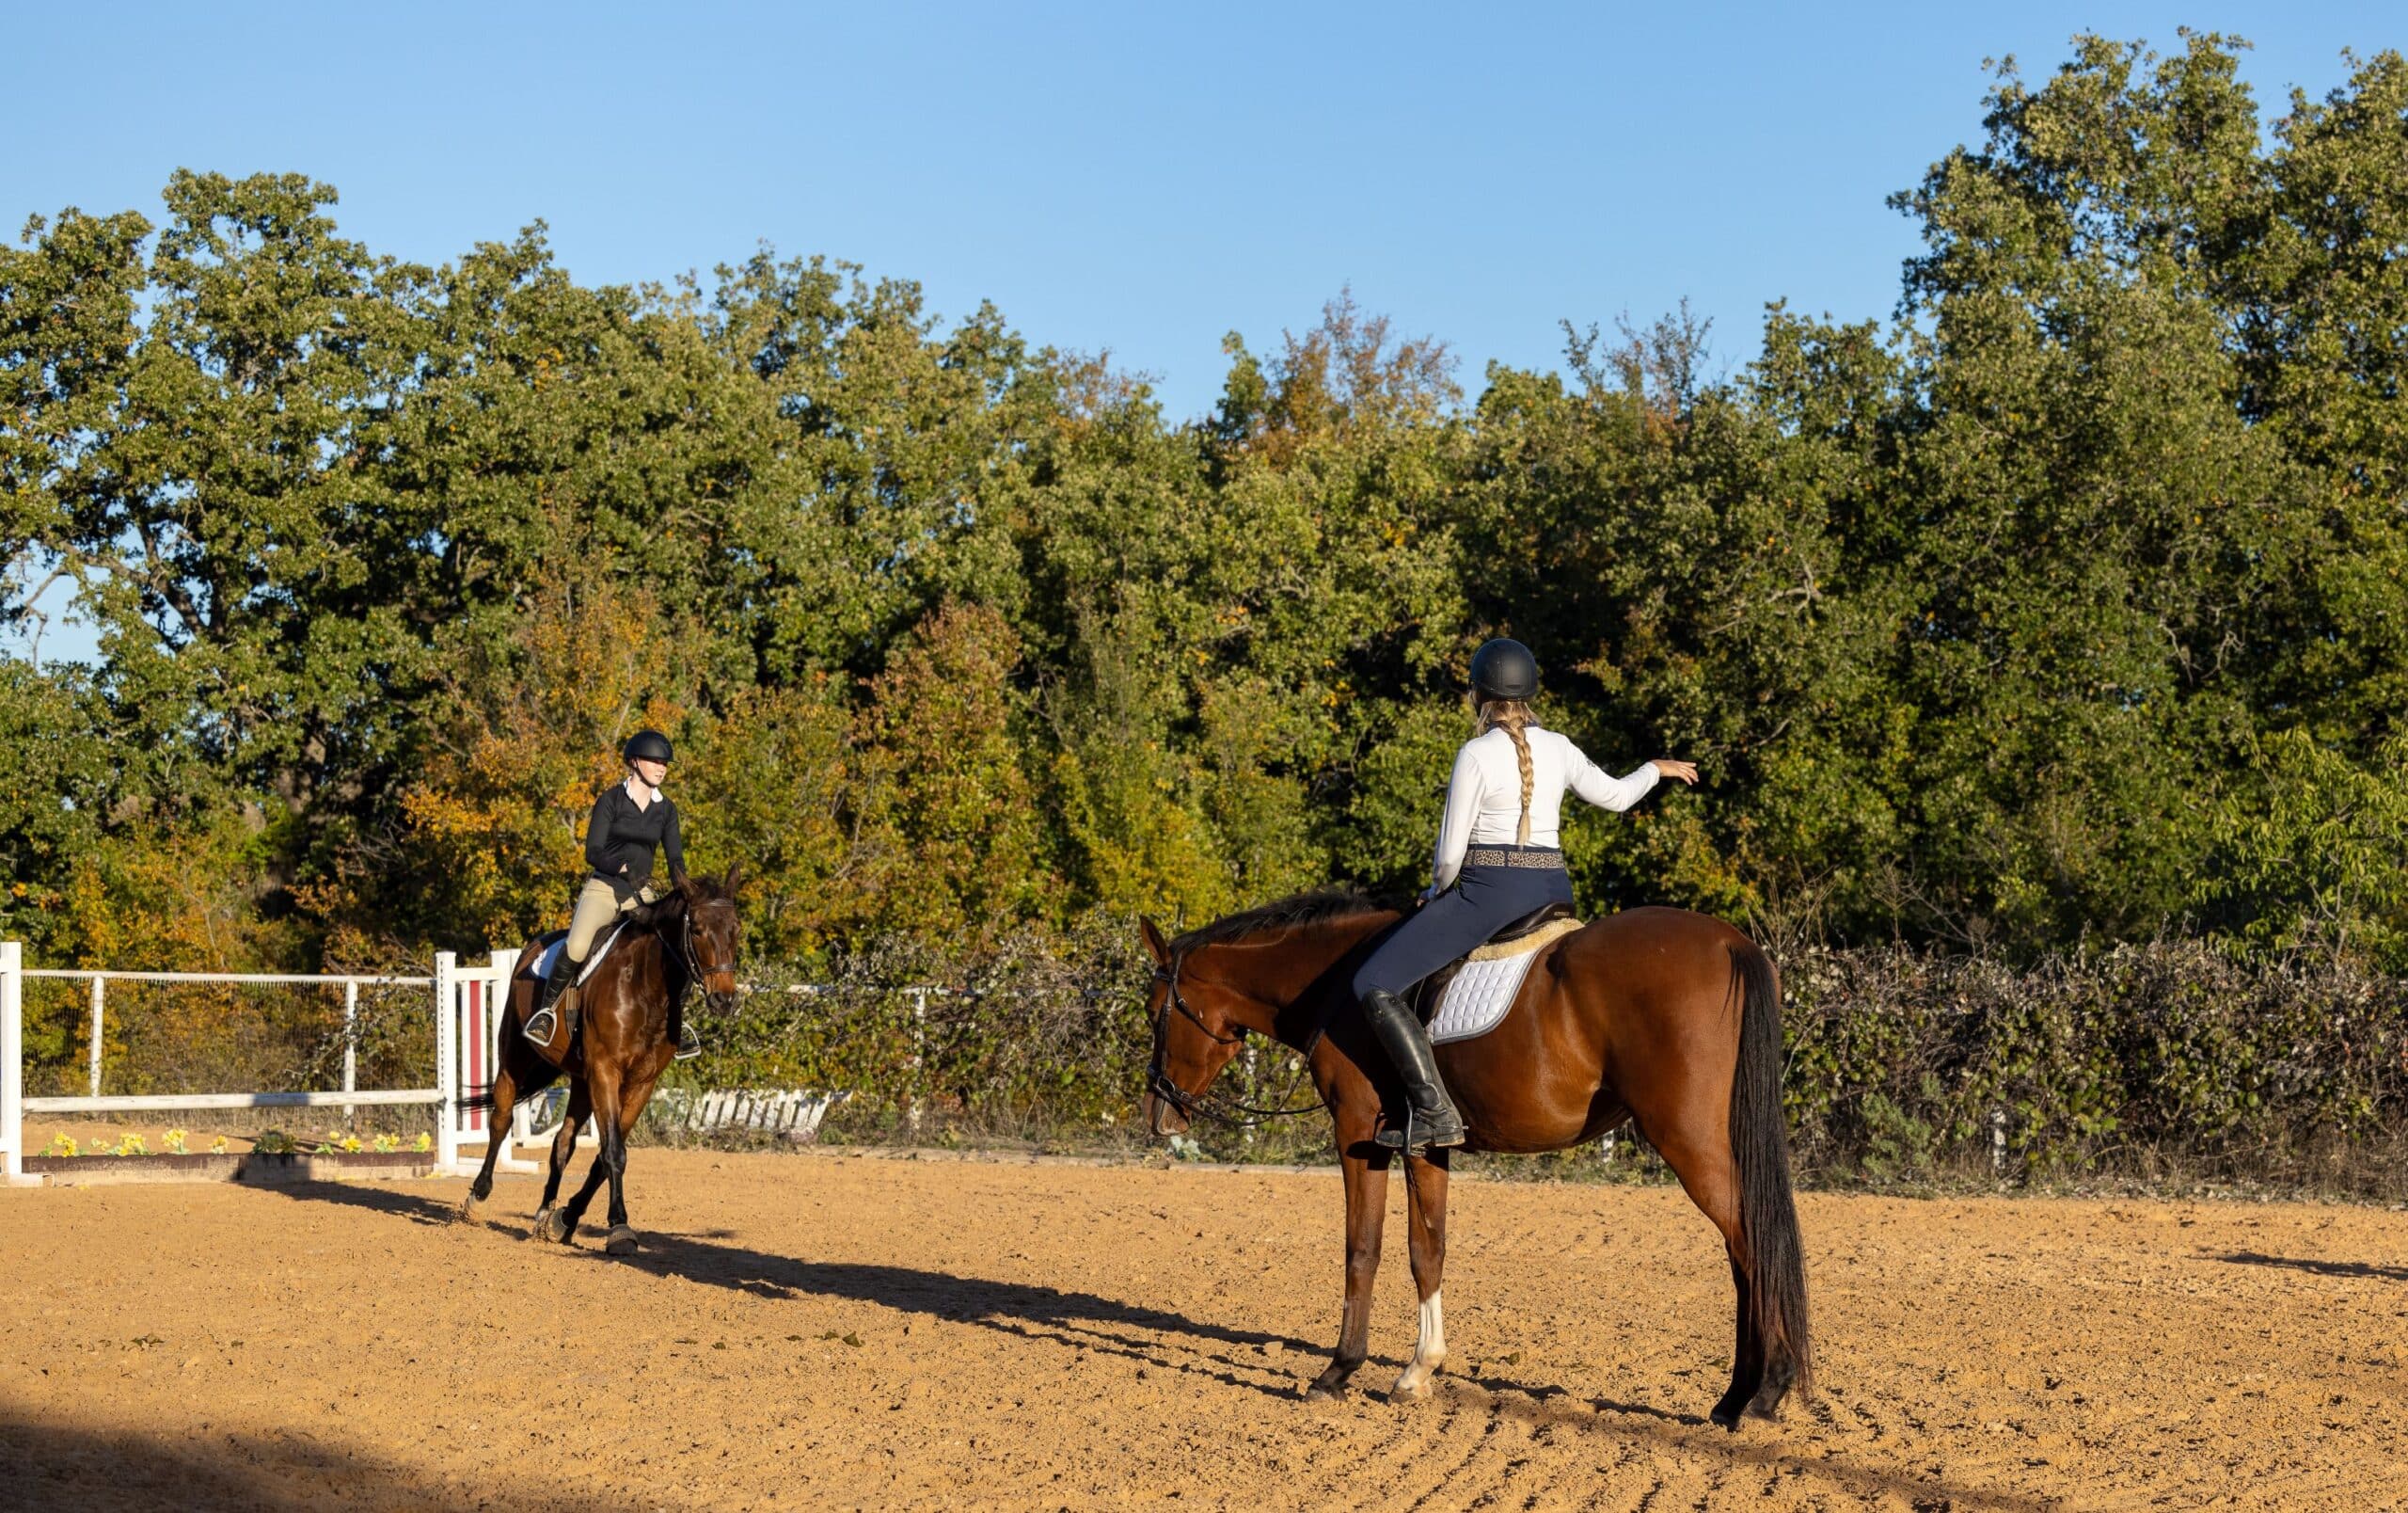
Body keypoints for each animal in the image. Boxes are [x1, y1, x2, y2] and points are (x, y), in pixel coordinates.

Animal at [454, 862, 741, 1252]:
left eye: (735, 929)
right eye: (695, 928)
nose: (724, 999)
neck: (646, 987)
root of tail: (533, 945)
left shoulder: (641, 1083)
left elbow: (603, 1156)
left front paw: (565, 1219)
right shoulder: (606, 1071)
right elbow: (613, 1152)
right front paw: (620, 1228)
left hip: (580, 1079)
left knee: (563, 1142)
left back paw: (544, 1215)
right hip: (515, 1055)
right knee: (501, 1120)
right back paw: (477, 1197)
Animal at [1141, 891, 1811, 1425]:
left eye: (1154, 1013)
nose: (1159, 1113)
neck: (1335, 985)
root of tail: (1729, 943)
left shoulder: (1357, 1135)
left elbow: (1363, 1248)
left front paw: (1338, 1372)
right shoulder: (1427, 1144)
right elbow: (1427, 1248)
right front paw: (1418, 1372)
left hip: (1690, 1141)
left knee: (1751, 1243)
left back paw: (1763, 1393)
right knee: (1744, 1253)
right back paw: (1735, 1397)